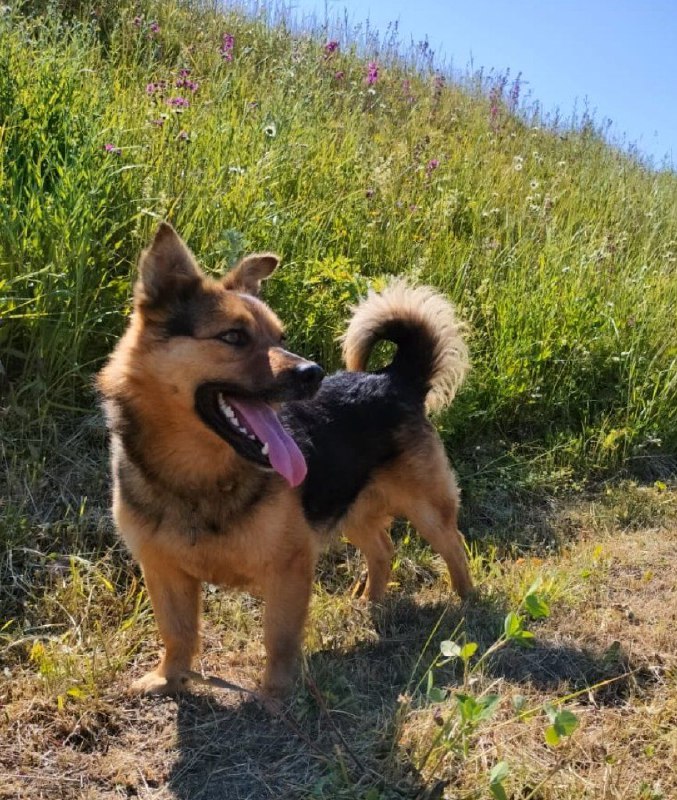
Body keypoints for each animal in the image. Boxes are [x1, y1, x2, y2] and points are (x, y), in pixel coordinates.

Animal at [97, 222, 472, 696]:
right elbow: (176, 631)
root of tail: (393, 378)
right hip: (350, 509)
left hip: (426, 509)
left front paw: (275, 693)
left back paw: (467, 603)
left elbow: (278, 636)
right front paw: (169, 677)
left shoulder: (290, 568)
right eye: (233, 337)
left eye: (281, 338)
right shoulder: (163, 570)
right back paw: (368, 601)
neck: (199, 476)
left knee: (454, 547)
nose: (313, 373)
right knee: (383, 549)